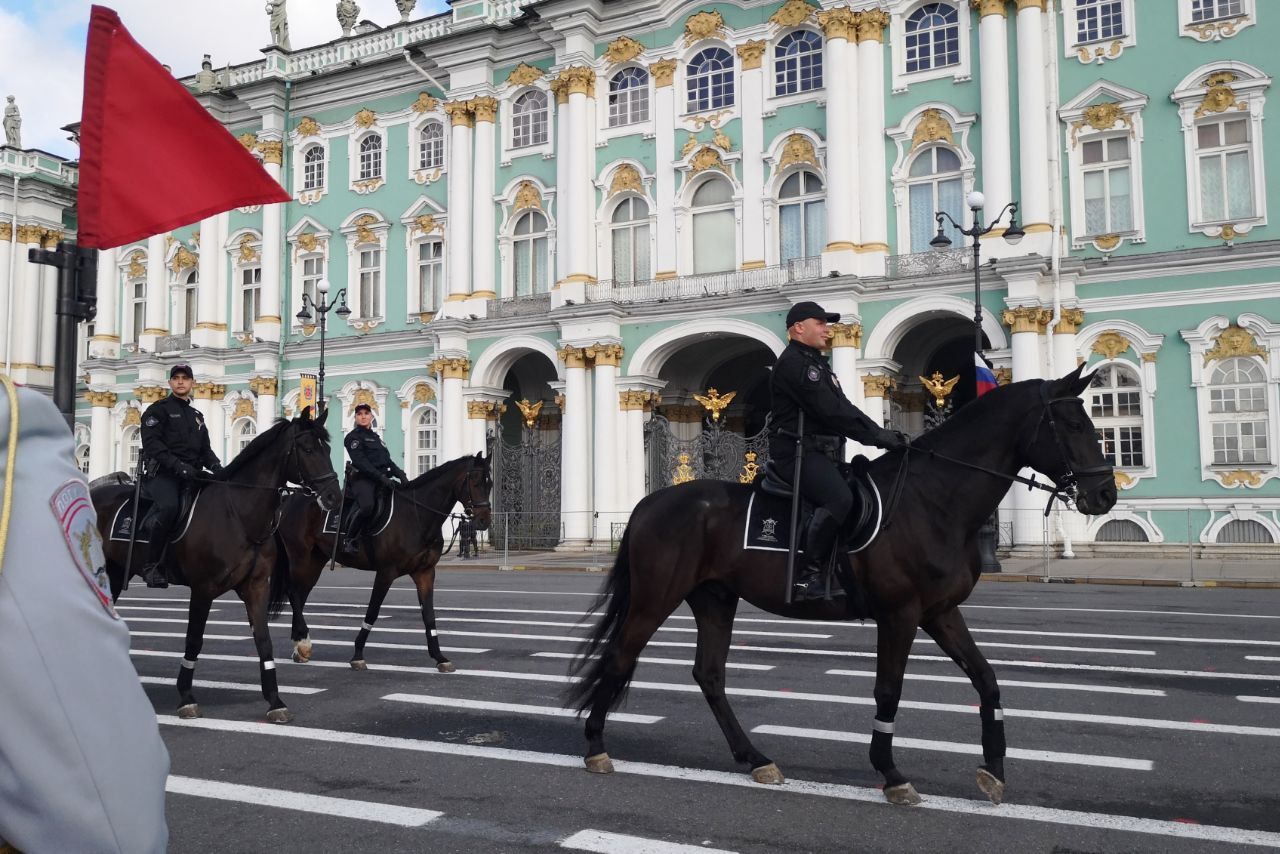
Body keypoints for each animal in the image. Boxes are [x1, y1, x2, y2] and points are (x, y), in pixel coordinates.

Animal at [93, 407, 343, 722]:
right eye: (308, 448)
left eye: (329, 449)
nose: (335, 496)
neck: (238, 515)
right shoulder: (203, 589)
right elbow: (194, 640)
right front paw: (186, 697)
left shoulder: (255, 587)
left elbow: (264, 641)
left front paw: (275, 700)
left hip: (113, 575)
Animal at [277, 453, 491, 676]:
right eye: (476, 482)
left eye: (490, 484)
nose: (484, 521)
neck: (416, 515)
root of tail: (289, 499)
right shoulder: (386, 572)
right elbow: (373, 612)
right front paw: (357, 655)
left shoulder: (425, 573)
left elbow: (429, 616)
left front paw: (440, 657)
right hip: (299, 557)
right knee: (293, 592)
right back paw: (303, 643)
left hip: (315, 560)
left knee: (300, 595)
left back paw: (300, 645)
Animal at [565, 368, 1116, 809]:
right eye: (1072, 425)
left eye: (1096, 421)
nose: (1105, 494)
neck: (932, 499)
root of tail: (649, 502)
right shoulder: (899, 614)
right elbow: (889, 691)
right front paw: (891, 774)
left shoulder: (940, 613)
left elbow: (987, 680)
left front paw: (994, 770)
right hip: (656, 597)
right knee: (620, 655)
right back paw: (595, 747)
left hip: (715, 599)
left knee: (709, 675)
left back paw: (754, 757)